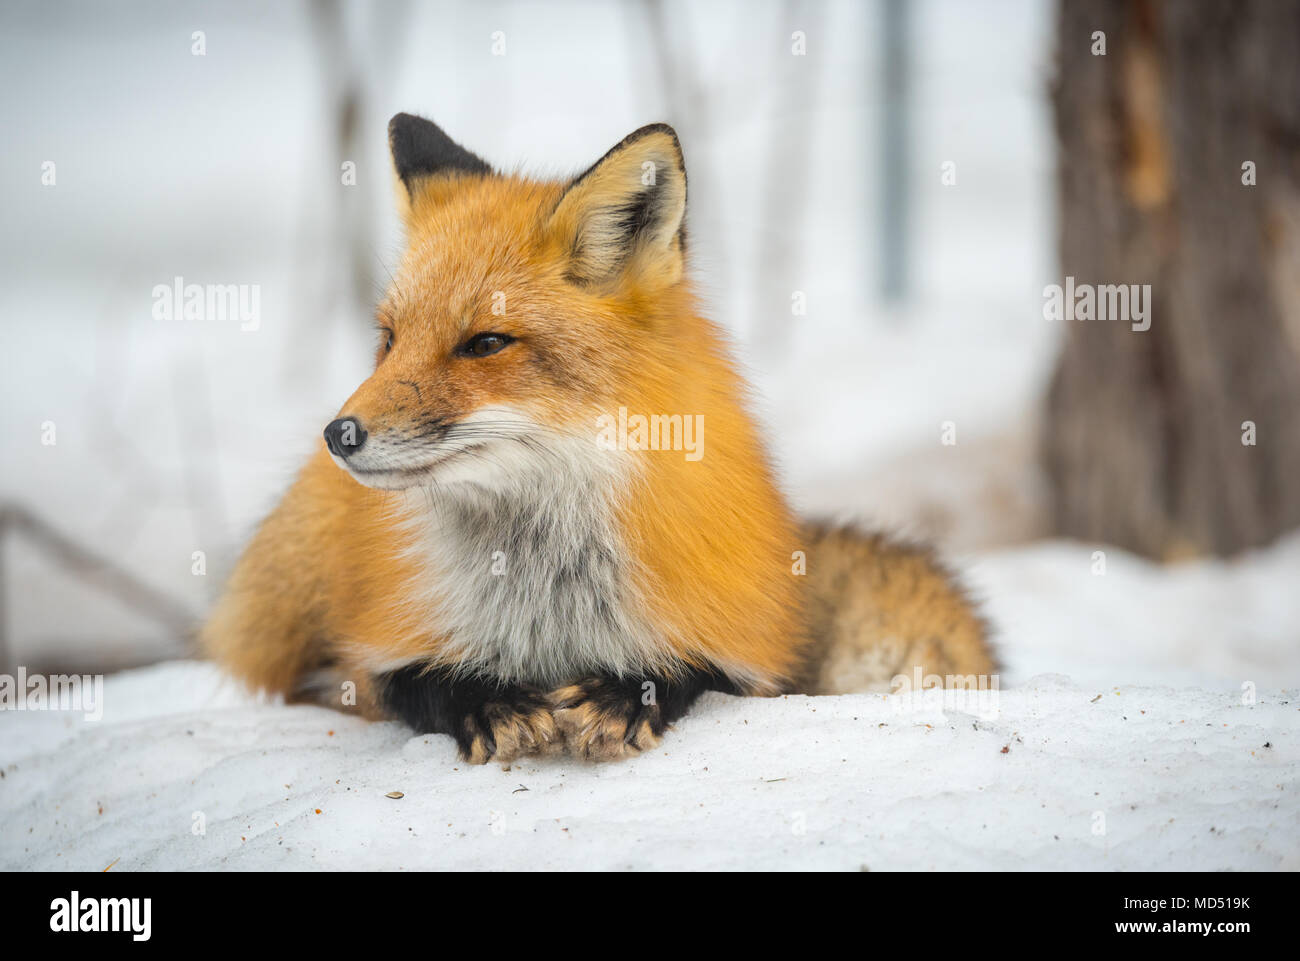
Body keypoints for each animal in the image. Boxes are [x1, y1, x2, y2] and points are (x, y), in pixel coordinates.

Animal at [205, 114, 993, 759]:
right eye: (390, 340)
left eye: (485, 343)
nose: (339, 434)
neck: (548, 595)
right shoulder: (376, 650)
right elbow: (409, 683)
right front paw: (487, 700)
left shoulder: (743, 649)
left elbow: (693, 669)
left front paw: (624, 694)